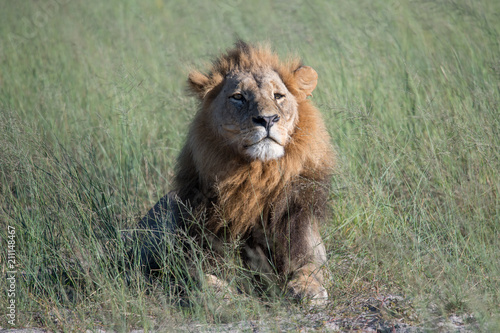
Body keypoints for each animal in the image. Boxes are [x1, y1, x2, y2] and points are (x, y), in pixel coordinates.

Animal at [140, 41, 336, 304]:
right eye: (238, 97)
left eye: (278, 96)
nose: (267, 119)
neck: (257, 176)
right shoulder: (194, 251)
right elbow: (200, 277)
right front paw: (228, 296)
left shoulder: (304, 238)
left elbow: (312, 267)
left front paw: (307, 289)